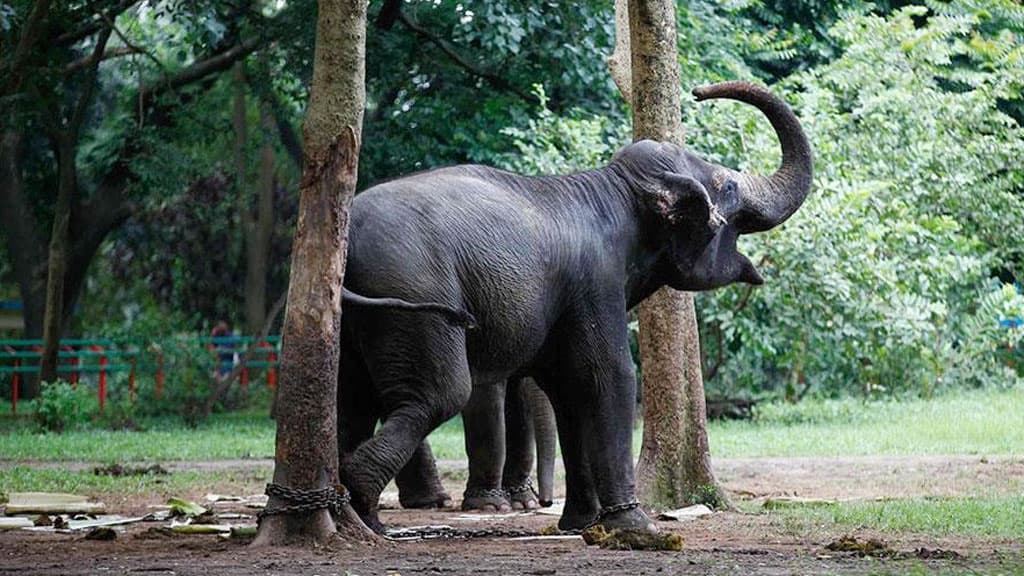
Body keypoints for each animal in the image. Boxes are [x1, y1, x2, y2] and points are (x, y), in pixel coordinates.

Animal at [339, 81, 811, 532]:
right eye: (727, 186)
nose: (699, 91)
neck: (613, 186)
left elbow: (568, 390)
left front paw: (581, 523)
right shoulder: (596, 283)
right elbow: (610, 377)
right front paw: (634, 525)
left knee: (354, 399)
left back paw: (363, 516)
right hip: (414, 294)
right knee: (438, 394)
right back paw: (359, 493)